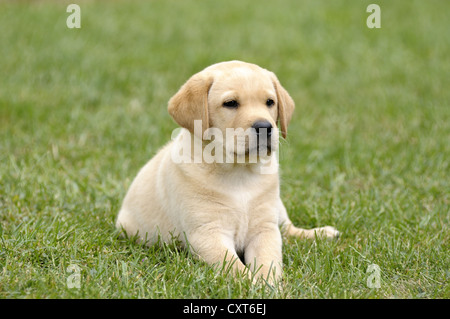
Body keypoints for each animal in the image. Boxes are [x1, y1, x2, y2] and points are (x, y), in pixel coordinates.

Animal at [116, 60, 338, 284]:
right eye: (230, 103)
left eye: (270, 102)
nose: (265, 126)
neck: (239, 171)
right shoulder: (207, 233)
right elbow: (234, 267)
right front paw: (253, 285)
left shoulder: (264, 228)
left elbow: (268, 261)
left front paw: (268, 284)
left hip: (277, 207)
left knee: (288, 228)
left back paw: (322, 233)